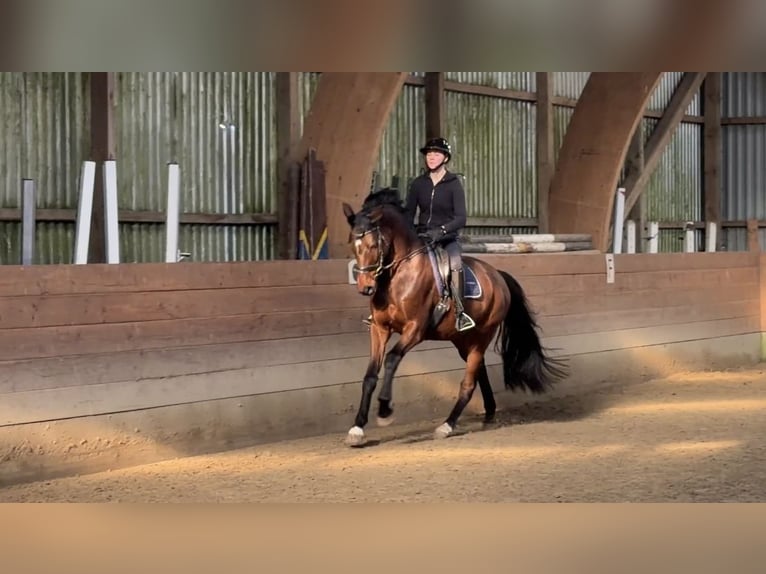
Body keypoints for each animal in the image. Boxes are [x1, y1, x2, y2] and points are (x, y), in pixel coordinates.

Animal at [341, 188, 568, 446]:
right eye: (353, 246)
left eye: (372, 245)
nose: (365, 287)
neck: (398, 275)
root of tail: (498, 275)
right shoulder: (379, 328)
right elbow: (370, 375)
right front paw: (357, 428)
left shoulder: (415, 329)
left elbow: (391, 359)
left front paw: (385, 410)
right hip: (462, 340)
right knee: (478, 371)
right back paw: (488, 414)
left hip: (482, 336)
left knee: (468, 382)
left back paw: (447, 425)